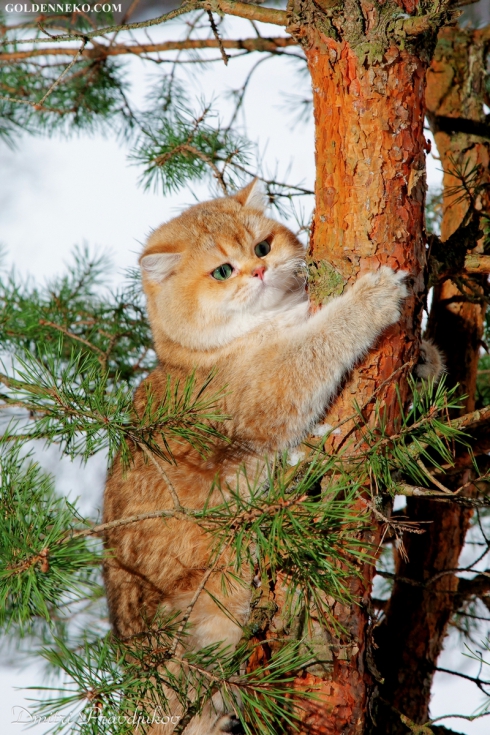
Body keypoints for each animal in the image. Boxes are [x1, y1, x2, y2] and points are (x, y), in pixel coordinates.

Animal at [103, 180, 414, 735]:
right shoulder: (272, 386)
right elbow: (319, 340)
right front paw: (371, 300)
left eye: (262, 246)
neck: (197, 356)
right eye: (222, 270)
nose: (259, 270)